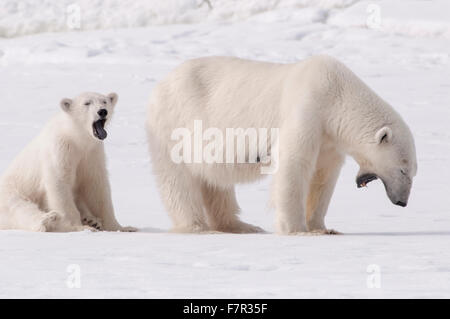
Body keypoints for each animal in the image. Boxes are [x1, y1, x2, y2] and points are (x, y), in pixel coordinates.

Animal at [0, 92, 135, 232]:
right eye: (87, 103)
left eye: (104, 101)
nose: (102, 111)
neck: (76, 137)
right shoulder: (61, 148)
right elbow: (60, 183)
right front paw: (77, 226)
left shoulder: (92, 154)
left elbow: (96, 187)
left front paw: (123, 228)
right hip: (12, 193)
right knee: (20, 208)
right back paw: (49, 219)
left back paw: (92, 220)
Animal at [148, 55, 418, 235]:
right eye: (403, 169)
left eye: (413, 172)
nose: (402, 202)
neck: (336, 95)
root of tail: (159, 86)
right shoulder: (306, 110)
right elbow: (293, 165)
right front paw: (295, 229)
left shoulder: (328, 138)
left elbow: (323, 177)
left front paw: (322, 228)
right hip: (175, 125)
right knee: (178, 181)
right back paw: (198, 227)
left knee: (215, 182)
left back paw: (240, 226)